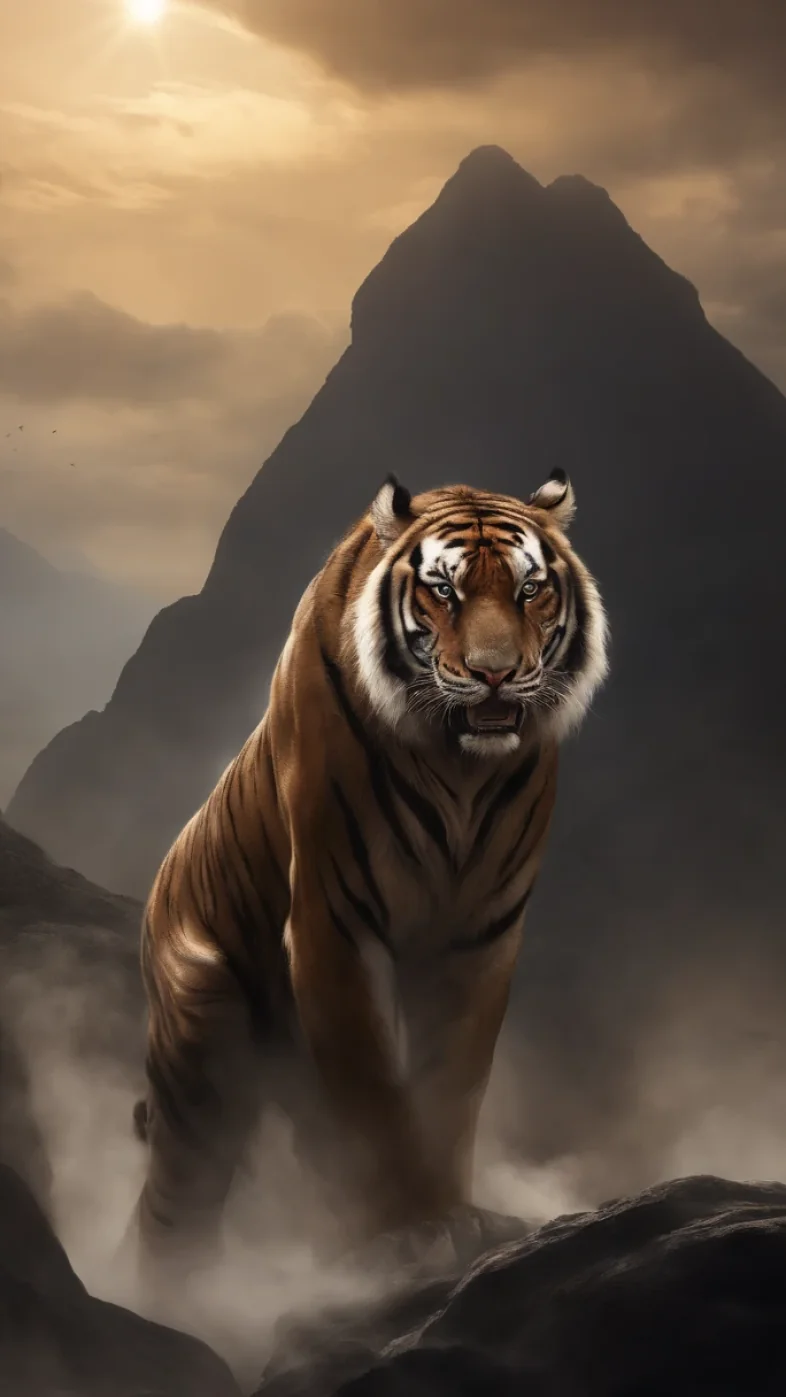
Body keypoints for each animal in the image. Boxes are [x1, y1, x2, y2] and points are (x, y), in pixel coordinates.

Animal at [131, 469, 608, 1273]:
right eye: (443, 591)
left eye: (529, 590)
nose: (495, 675)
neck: (460, 767)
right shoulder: (335, 922)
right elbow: (375, 1091)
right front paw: (412, 1229)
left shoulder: (480, 934)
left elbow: (452, 1083)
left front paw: (456, 1214)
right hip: (202, 1044)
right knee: (171, 1209)